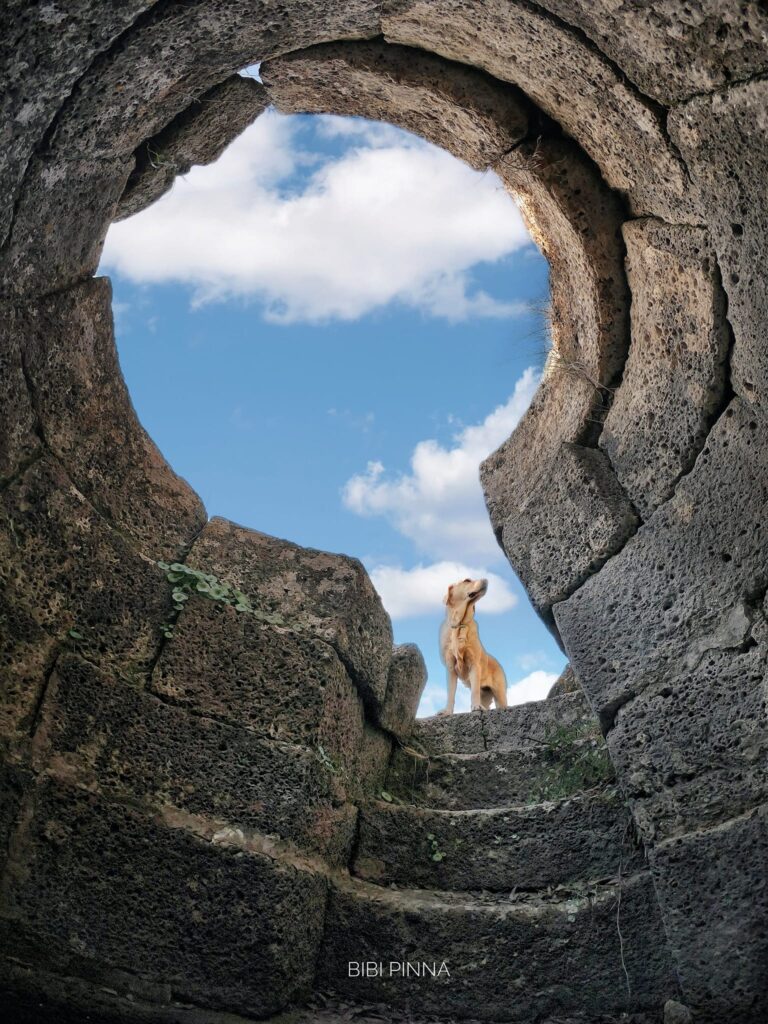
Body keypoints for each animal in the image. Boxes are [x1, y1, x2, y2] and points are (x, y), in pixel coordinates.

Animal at [442, 577, 507, 712]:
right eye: (467, 580)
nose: (486, 579)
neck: (460, 624)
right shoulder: (450, 668)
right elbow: (450, 694)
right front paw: (447, 712)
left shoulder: (474, 665)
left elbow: (474, 692)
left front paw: (476, 707)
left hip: (499, 693)